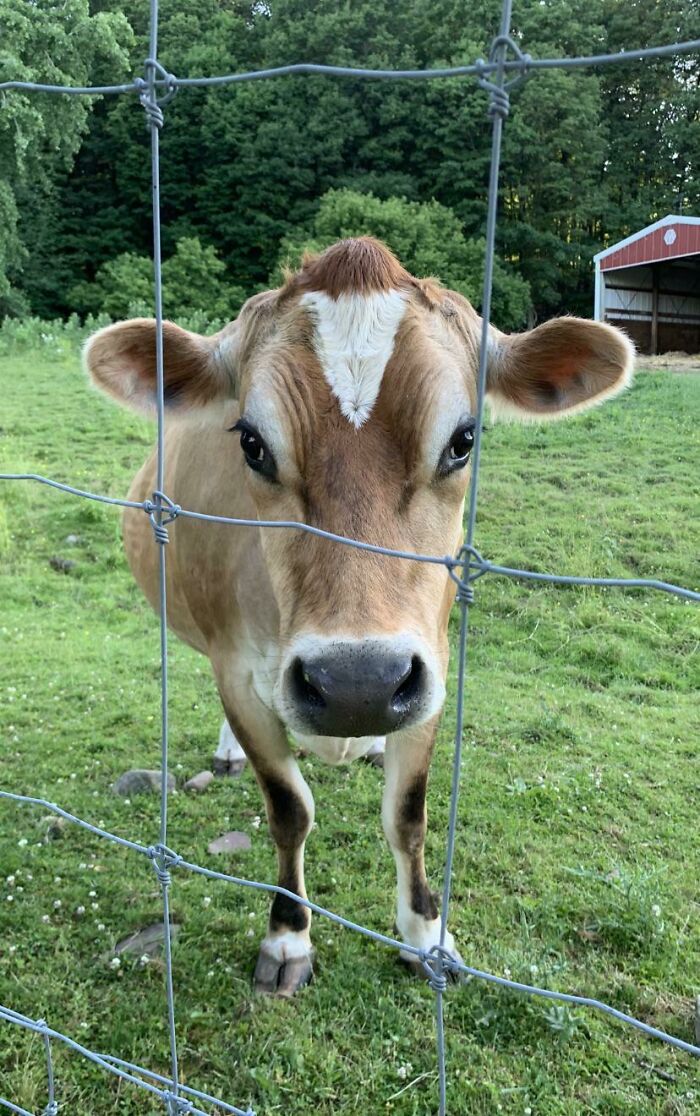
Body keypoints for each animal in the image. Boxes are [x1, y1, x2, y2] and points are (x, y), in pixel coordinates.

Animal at [85, 237, 634, 997]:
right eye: (251, 443)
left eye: (464, 440)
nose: (357, 684)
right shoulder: (241, 675)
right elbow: (289, 810)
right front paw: (288, 937)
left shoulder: (430, 670)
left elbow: (408, 816)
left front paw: (426, 936)